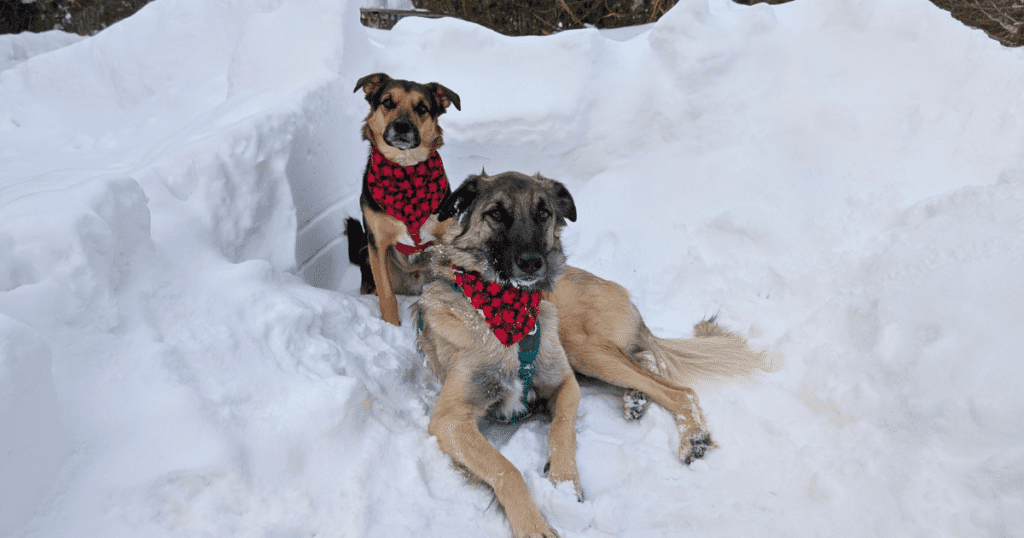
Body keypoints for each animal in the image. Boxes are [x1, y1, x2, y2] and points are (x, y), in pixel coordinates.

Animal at [348, 72, 460, 325]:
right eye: (387, 102)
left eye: (422, 108)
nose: (402, 126)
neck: (405, 171)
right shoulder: (377, 243)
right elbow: (386, 294)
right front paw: (392, 325)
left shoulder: (445, 237)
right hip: (364, 249)